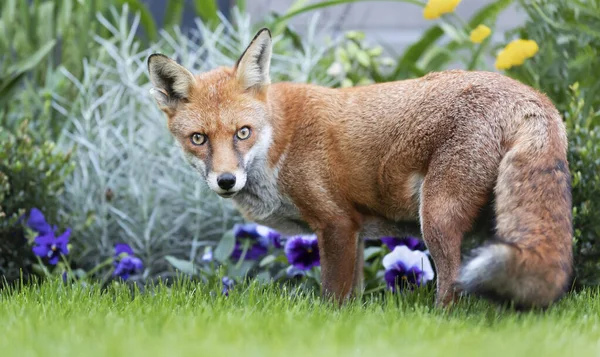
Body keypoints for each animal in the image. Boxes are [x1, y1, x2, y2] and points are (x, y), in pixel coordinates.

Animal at [148, 27, 576, 308]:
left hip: (437, 217)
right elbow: (350, 300)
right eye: (199, 138)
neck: (279, 143)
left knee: (453, 288)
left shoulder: (335, 224)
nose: (226, 180)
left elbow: (331, 298)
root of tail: (533, 97)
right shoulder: (353, 230)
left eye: (242, 132)